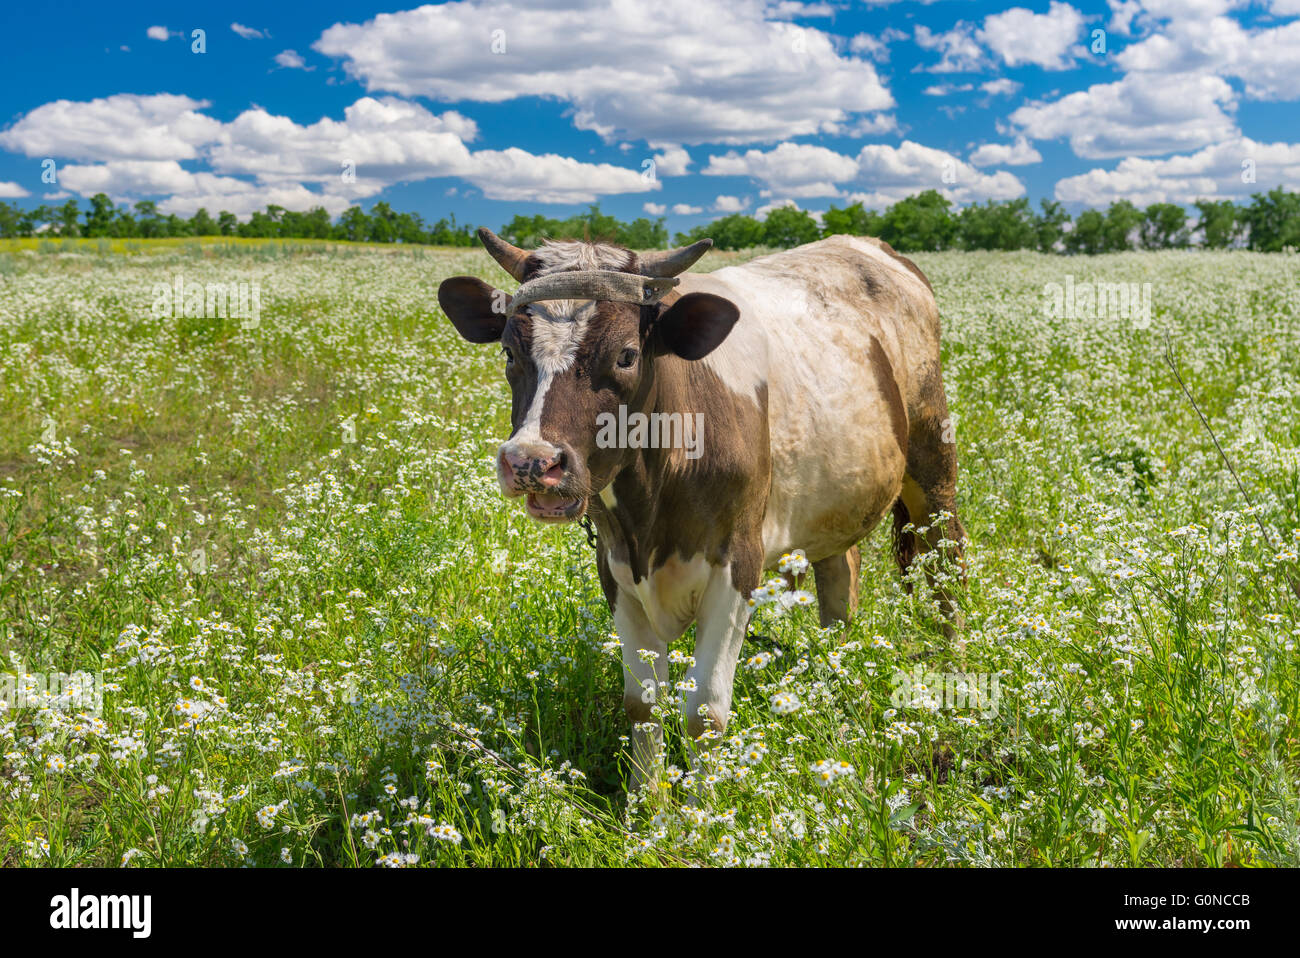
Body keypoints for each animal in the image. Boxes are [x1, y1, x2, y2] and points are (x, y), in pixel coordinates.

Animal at [441, 226, 961, 785]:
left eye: (626, 355)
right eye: (509, 353)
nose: (533, 461)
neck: (650, 511)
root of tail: (867, 243)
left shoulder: (738, 563)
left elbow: (704, 711)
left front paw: (699, 806)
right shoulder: (615, 566)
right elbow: (643, 703)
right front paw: (647, 804)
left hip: (933, 462)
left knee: (947, 567)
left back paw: (954, 668)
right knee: (840, 578)